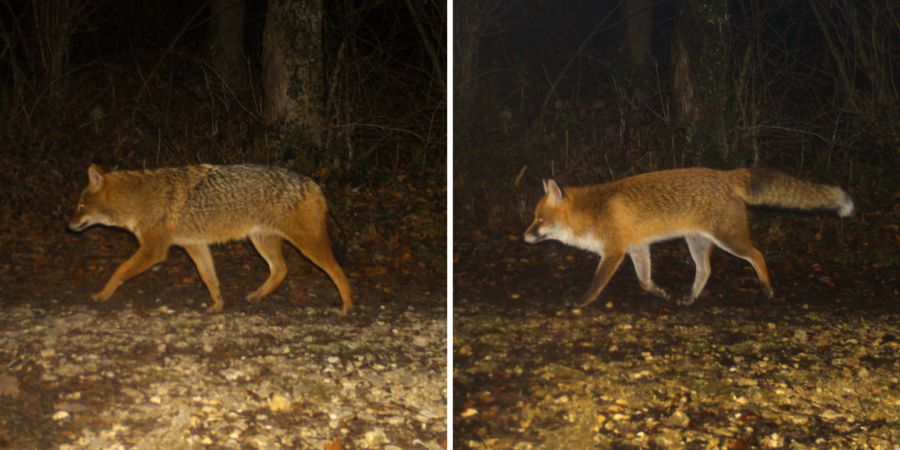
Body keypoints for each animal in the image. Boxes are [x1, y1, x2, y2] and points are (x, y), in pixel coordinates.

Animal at [68, 164, 353, 314]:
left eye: (80, 206)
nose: (68, 225)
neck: (138, 199)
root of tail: (313, 183)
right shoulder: (195, 245)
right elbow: (209, 278)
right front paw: (217, 305)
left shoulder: (153, 250)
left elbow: (119, 270)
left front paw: (102, 295)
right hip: (261, 242)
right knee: (280, 270)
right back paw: (257, 296)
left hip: (308, 246)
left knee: (337, 271)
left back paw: (347, 305)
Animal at [523, 167, 853, 307]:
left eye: (539, 219)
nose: (524, 236)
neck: (591, 212)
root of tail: (726, 173)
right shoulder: (638, 246)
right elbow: (644, 280)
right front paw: (661, 293)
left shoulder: (615, 251)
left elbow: (596, 284)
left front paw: (582, 301)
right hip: (697, 242)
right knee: (705, 270)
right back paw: (690, 297)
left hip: (729, 239)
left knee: (757, 255)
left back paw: (767, 288)